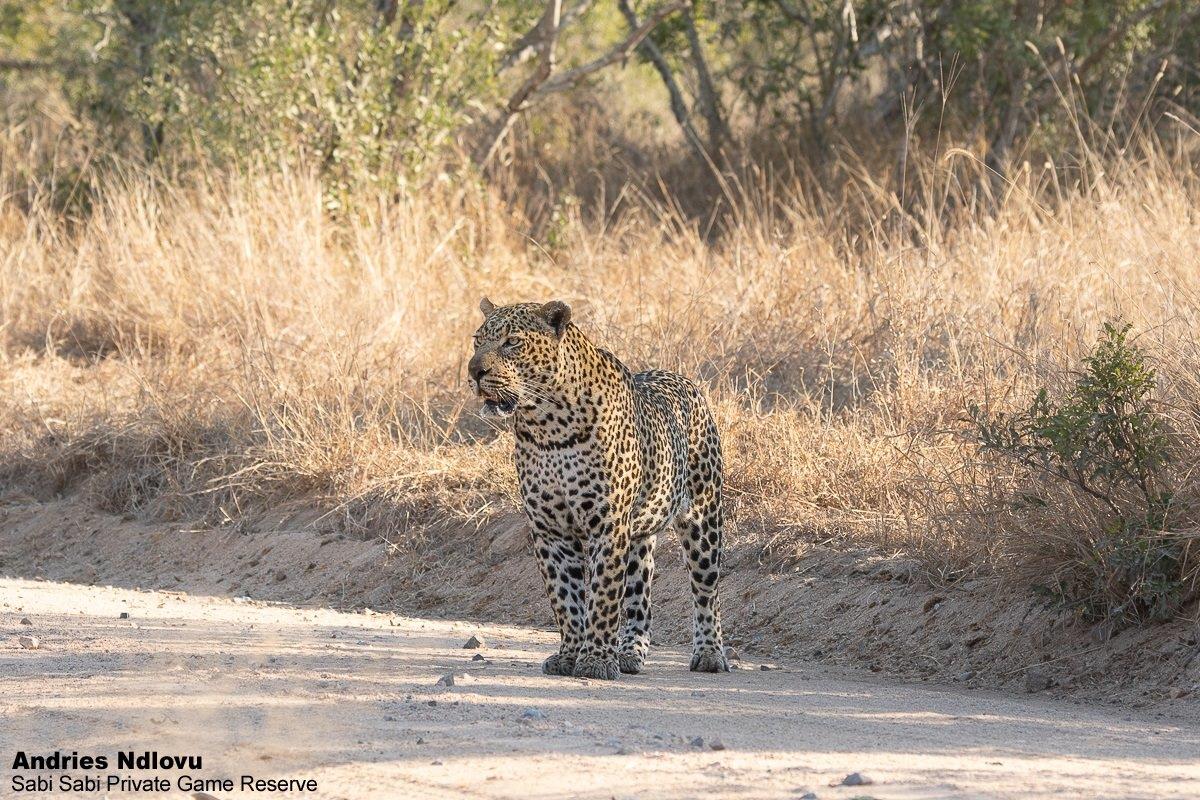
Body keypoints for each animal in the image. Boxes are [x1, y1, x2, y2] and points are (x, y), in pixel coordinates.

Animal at [468, 297, 729, 680]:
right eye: (477, 341)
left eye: (512, 342)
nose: (474, 371)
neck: (548, 426)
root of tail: (682, 379)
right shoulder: (551, 530)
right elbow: (566, 598)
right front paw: (570, 654)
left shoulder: (609, 524)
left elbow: (603, 595)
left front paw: (594, 660)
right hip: (639, 537)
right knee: (639, 599)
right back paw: (629, 653)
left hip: (703, 519)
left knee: (707, 591)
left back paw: (709, 653)